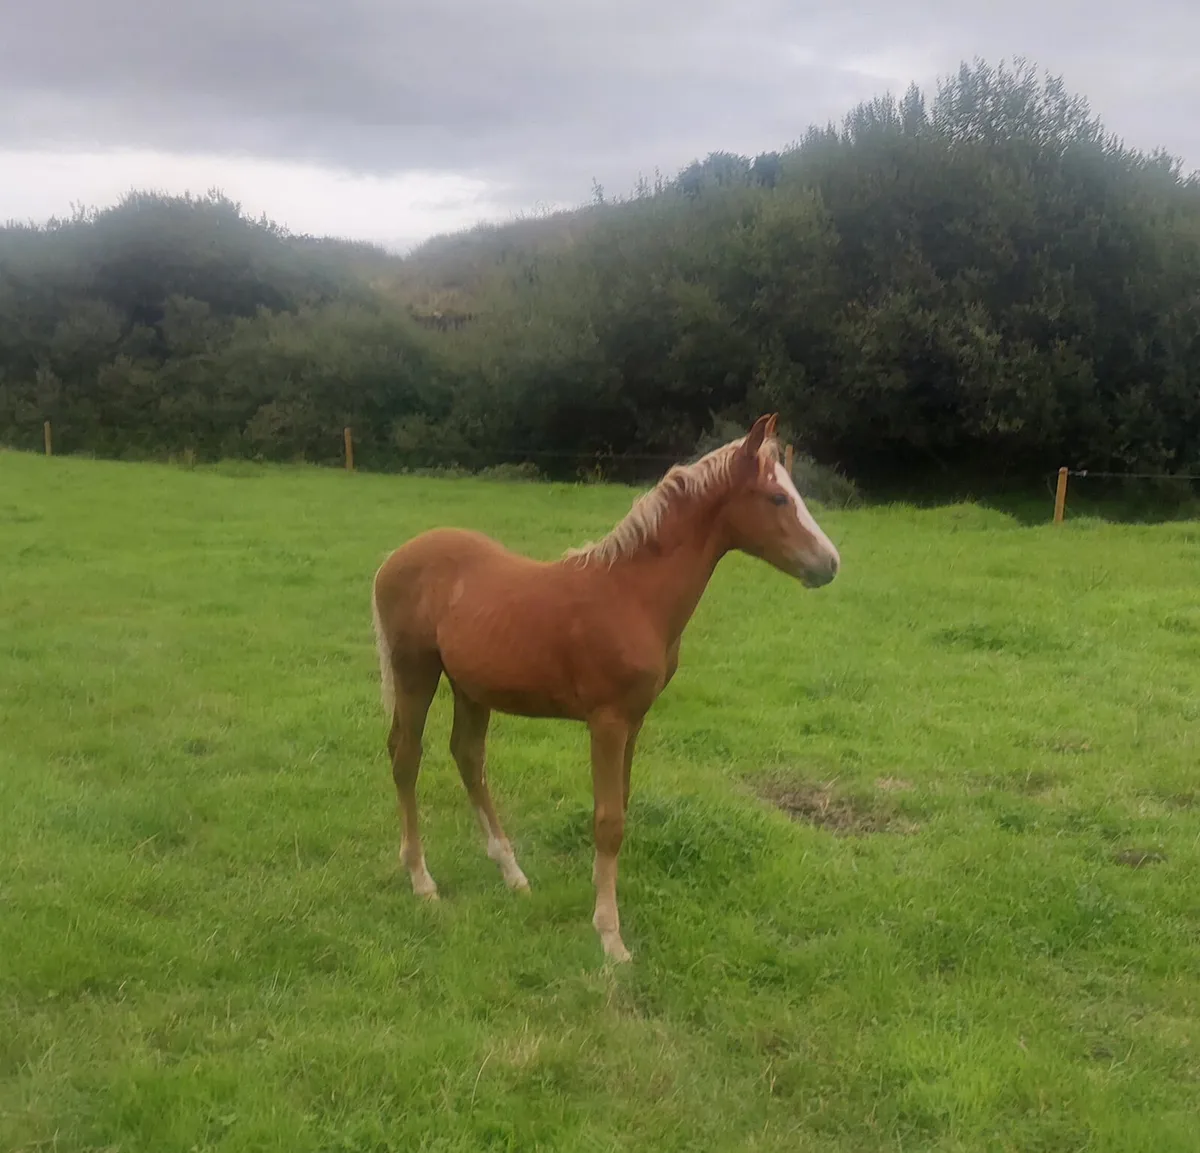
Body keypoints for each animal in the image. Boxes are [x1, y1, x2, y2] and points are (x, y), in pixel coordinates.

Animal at [370, 413, 841, 962]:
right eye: (778, 497)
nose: (829, 563)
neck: (632, 595)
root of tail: (392, 559)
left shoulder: (635, 720)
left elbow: (622, 808)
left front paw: (606, 903)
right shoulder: (608, 722)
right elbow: (608, 821)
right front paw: (610, 937)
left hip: (470, 686)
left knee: (467, 756)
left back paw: (512, 874)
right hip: (415, 672)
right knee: (406, 755)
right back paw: (422, 880)